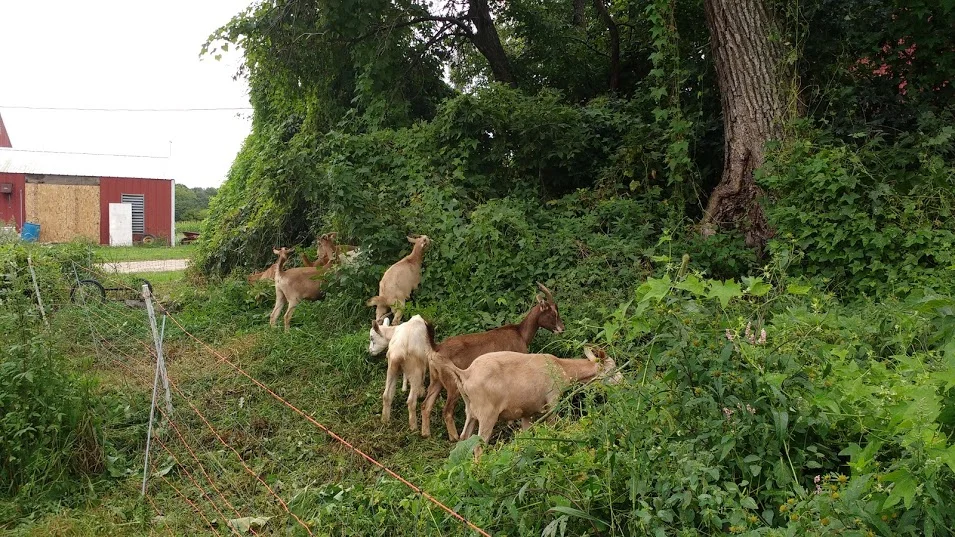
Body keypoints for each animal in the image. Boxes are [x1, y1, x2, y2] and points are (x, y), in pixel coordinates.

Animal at [419, 283, 564, 440]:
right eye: (553, 313)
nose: (562, 329)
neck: (520, 333)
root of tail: (436, 347)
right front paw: (511, 422)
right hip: (453, 384)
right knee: (447, 411)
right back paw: (455, 437)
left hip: (436, 380)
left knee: (426, 405)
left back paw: (426, 434)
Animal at [436, 347, 620, 459]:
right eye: (612, 369)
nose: (623, 381)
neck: (562, 367)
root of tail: (466, 373)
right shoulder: (552, 401)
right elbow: (554, 427)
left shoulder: (527, 413)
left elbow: (526, 438)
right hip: (487, 414)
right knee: (479, 445)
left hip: (471, 412)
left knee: (465, 440)